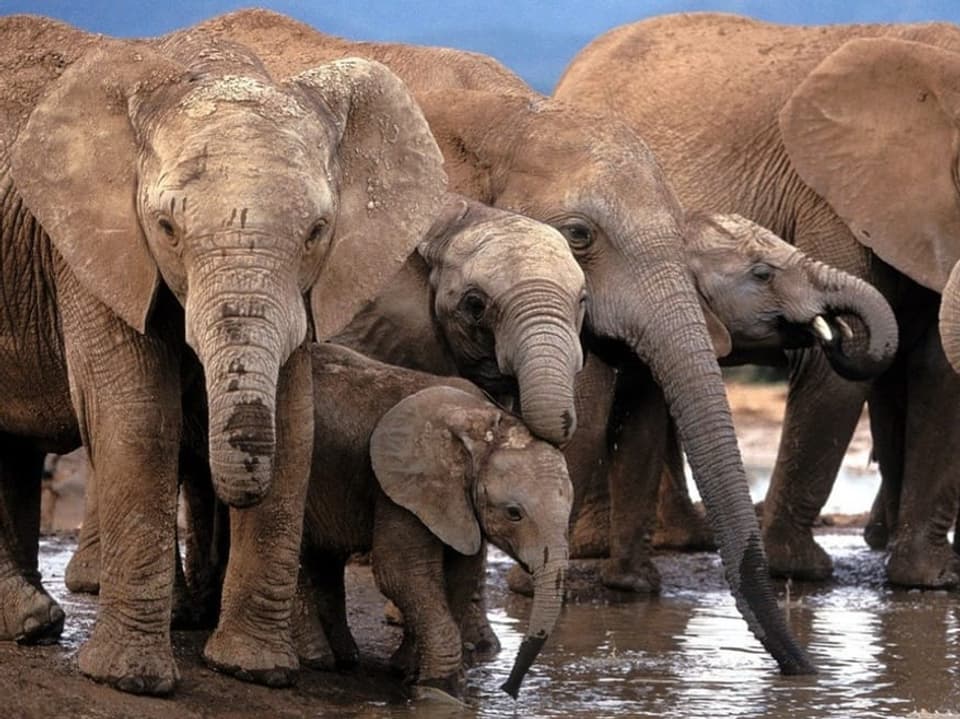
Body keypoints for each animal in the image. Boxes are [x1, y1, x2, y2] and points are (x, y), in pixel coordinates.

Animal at [0, 14, 446, 696]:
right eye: (166, 228)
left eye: (317, 231)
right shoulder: (88, 252)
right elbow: (136, 418)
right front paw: (130, 680)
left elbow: (294, 426)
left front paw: (251, 668)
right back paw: (31, 623)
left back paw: (37, 622)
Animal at [296, 344, 572, 704]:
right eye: (514, 513)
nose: (508, 690)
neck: (480, 423)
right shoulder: (401, 487)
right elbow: (401, 573)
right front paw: (440, 688)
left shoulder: (458, 502)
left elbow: (460, 573)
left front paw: (407, 670)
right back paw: (318, 660)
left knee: (324, 558)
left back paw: (345, 658)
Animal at [556, 14, 960, 588]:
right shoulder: (831, 201)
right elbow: (833, 372)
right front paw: (801, 569)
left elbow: (937, 369)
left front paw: (930, 580)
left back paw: (686, 539)